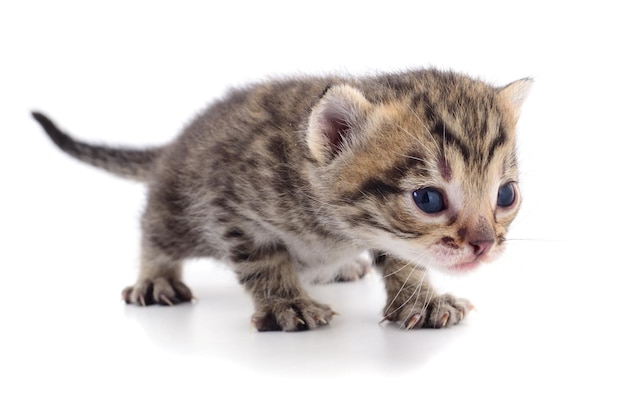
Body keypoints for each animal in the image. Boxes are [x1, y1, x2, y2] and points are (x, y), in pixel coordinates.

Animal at [31, 69, 528, 332]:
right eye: (427, 198)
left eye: (505, 195)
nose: (484, 244)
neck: (335, 226)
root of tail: (174, 145)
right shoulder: (229, 204)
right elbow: (264, 261)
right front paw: (286, 304)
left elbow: (403, 259)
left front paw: (420, 301)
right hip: (177, 205)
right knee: (155, 231)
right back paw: (155, 278)